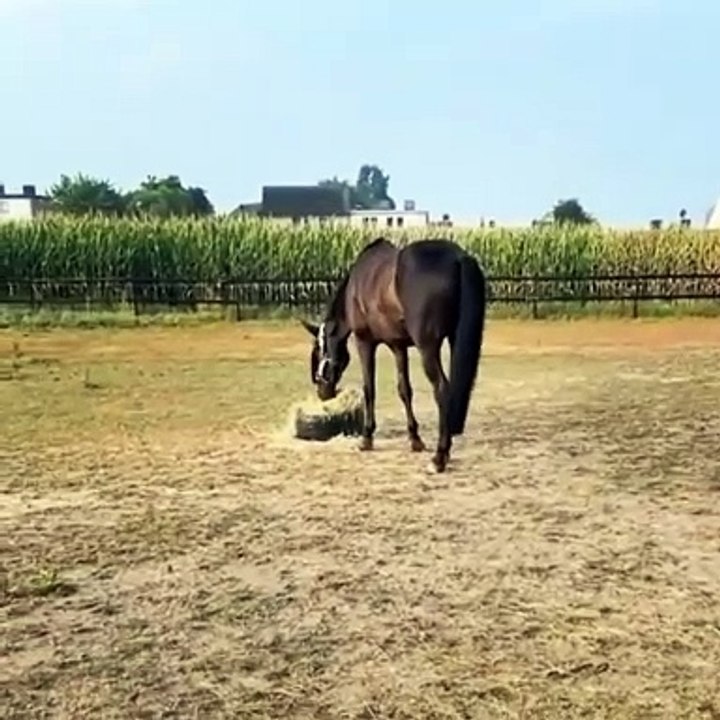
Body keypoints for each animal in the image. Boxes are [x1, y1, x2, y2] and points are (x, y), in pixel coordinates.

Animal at [301, 236, 487, 473]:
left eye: (319, 349)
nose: (322, 392)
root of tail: (458, 258)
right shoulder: (398, 346)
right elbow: (404, 390)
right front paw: (415, 439)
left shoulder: (365, 342)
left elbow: (369, 389)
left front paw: (366, 438)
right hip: (455, 338)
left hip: (427, 347)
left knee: (442, 390)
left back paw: (439, 458)